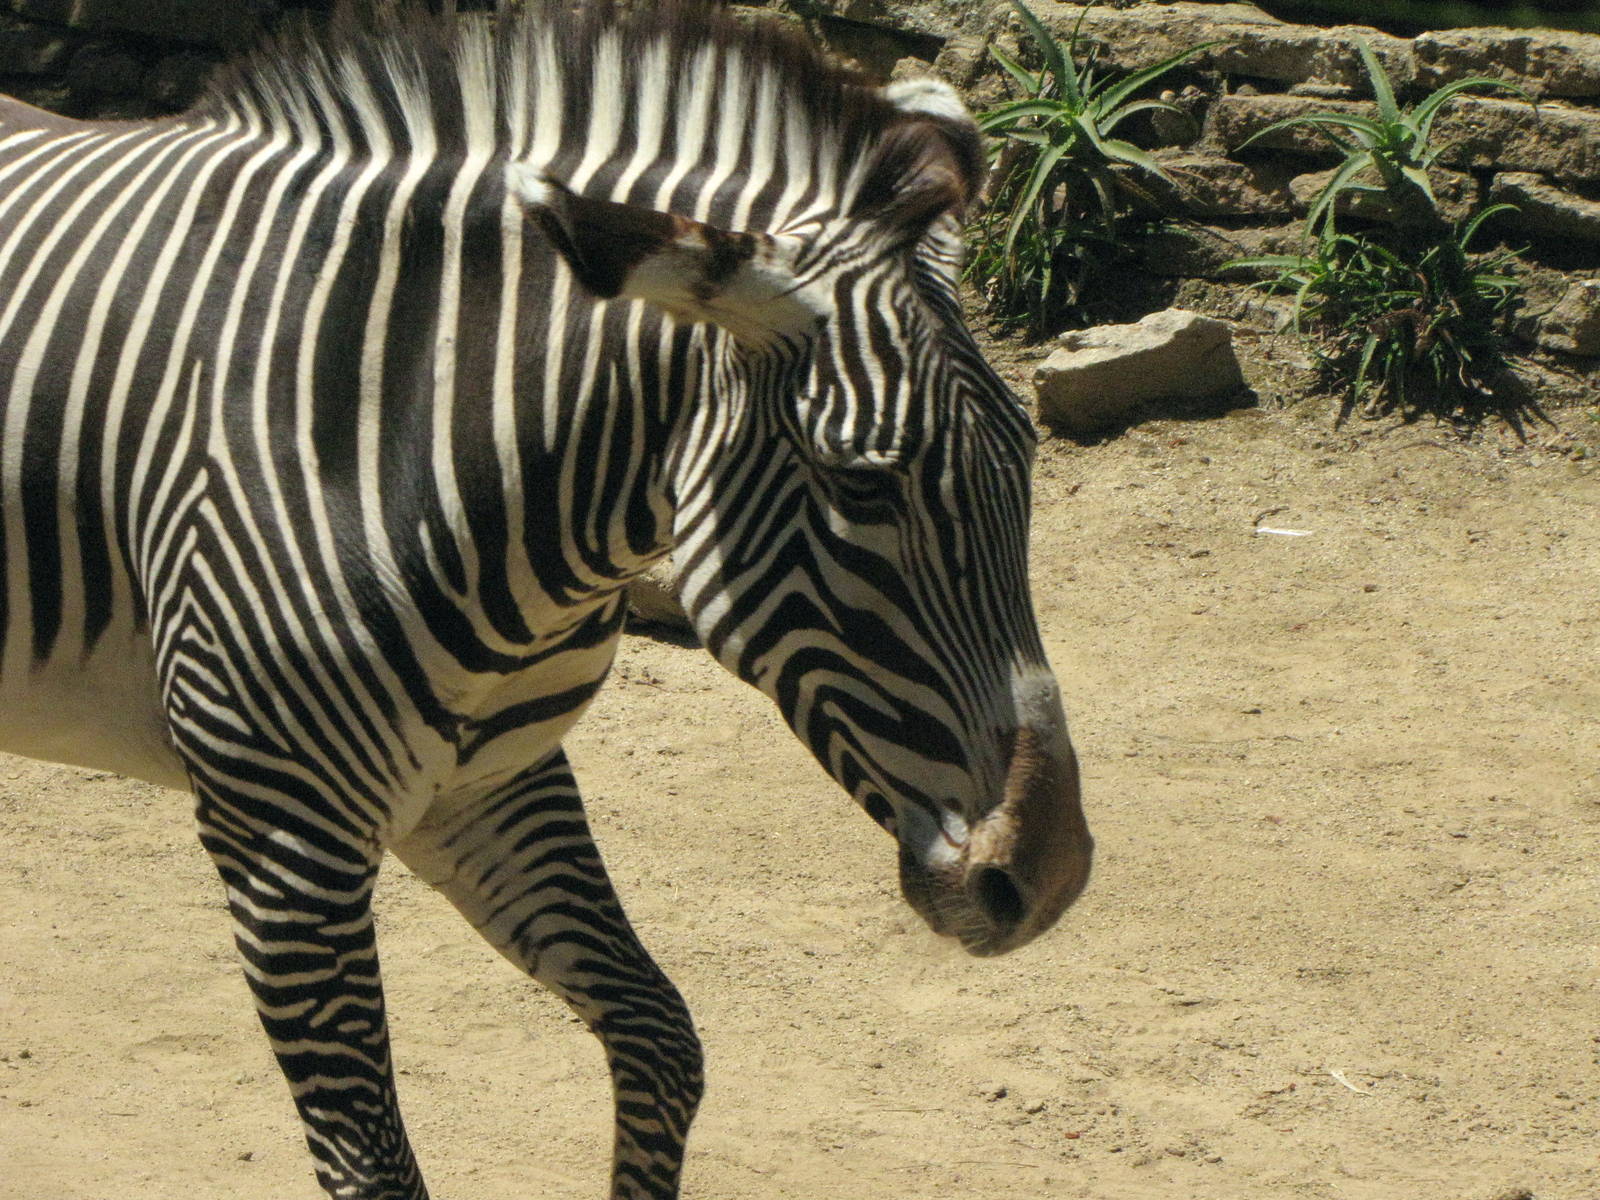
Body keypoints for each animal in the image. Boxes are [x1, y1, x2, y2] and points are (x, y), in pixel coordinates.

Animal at [0, 2, 1093, 1197]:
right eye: (862, 485)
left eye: (1027, 455)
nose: (1049, 879)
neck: (401, 422)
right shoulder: (284, 837)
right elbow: (374, 1167)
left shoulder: (492, 782)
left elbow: (662, 1040)